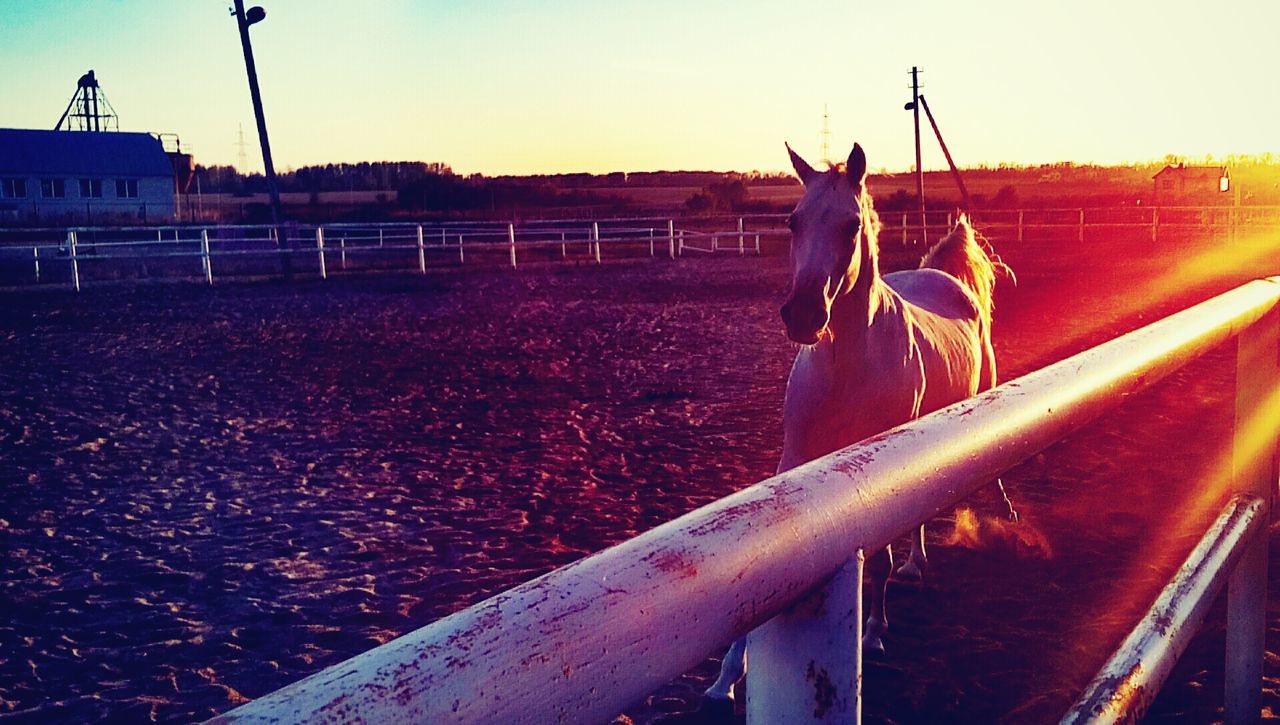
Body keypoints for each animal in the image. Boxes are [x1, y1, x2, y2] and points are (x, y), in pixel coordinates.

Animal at [706, 140, 1013, 707]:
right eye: (792, 221)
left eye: (851, 225)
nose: (803, 315)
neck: (846, 365)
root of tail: (944, 279)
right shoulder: (798, 459)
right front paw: (725, 678)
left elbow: (879, 559)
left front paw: (873, 634)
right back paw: (918, 562)